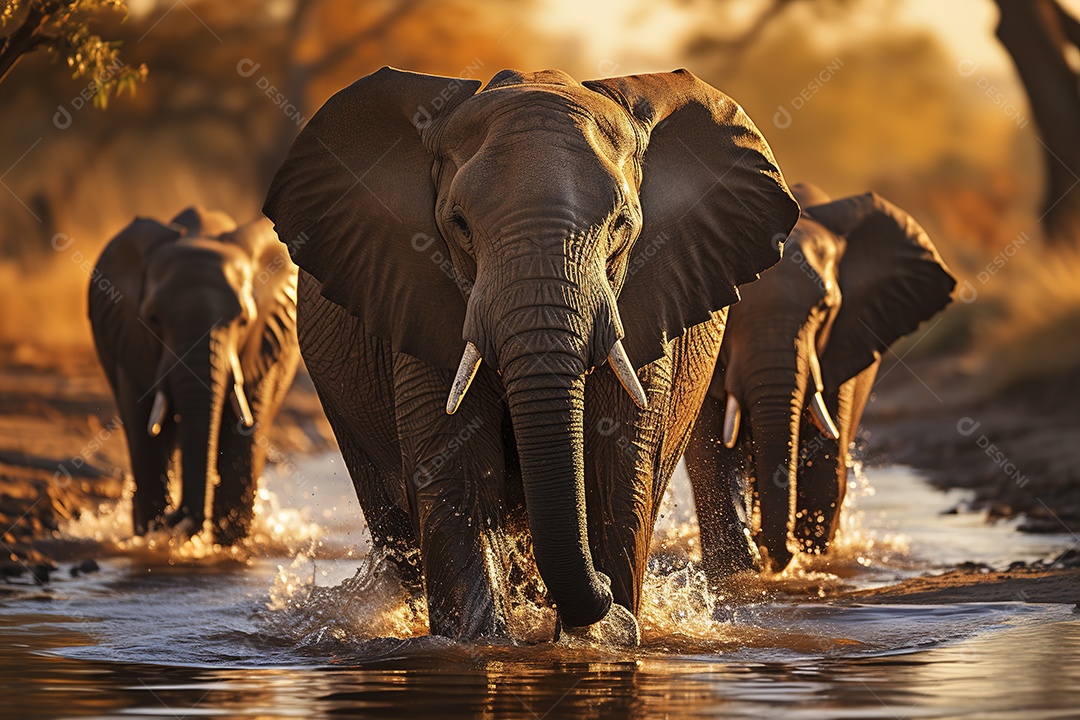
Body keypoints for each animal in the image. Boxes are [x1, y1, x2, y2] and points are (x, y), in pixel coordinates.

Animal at [89, 207, 300, 544]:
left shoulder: (262, 345)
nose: (176, 516)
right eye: (153, 320)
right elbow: (143, 428)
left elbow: (243, 435)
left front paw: (229, 543)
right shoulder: (129, 341)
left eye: (243, 321)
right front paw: (153, 535)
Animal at [262, 66, 800, 643]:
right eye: (459, 225)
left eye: (621, 226)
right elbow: (458, 475)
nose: (604, 596)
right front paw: (484, 643)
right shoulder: (417, 290)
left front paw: (605, 637)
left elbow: (614, 471)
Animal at [685, 184, 956, 577]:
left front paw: (807, 558)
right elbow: (710, 453)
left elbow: (823, 454)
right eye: (728, 308)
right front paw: (737, 568)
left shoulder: (840, 345)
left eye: (825, 308)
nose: (774, 552)